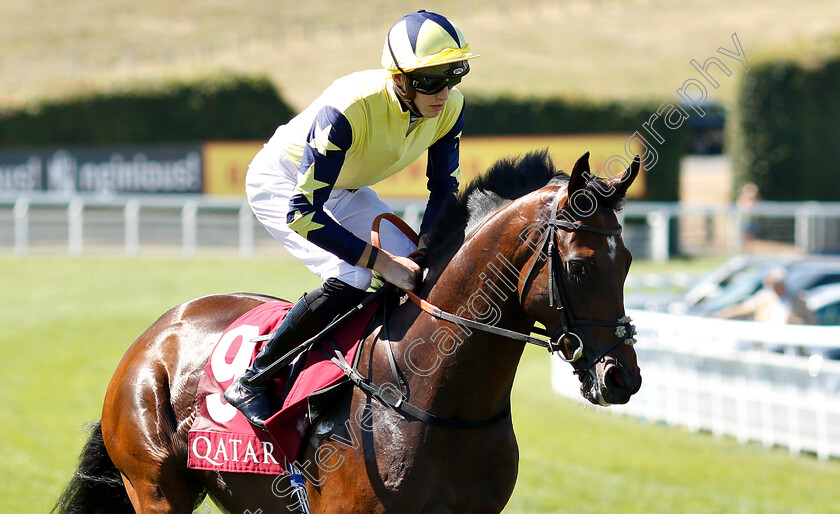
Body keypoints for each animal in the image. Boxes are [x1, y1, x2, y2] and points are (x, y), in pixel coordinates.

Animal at [54, 151, 644, 512]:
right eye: (582, 266)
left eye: (629, 260)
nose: (622, 377)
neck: (435, 397)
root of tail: (157, 333)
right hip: (155, 487)